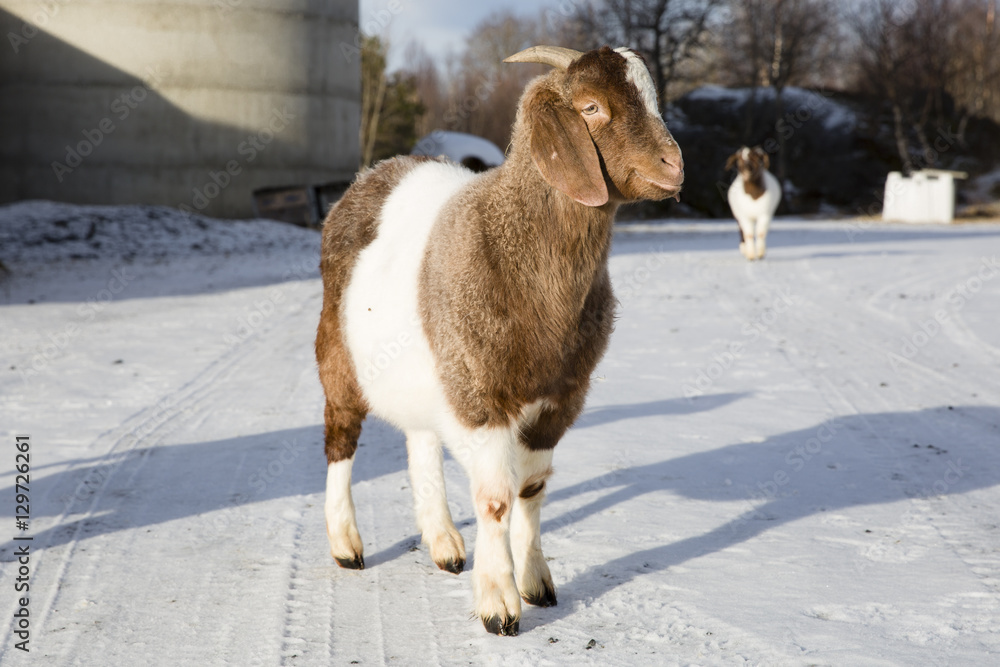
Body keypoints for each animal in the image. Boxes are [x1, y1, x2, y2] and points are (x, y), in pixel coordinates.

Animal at [315, 45, 683, 636]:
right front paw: (498, 604)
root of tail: (378, 170)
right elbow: (493, 500)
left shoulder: (559, 400)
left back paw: (443, 543)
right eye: (591, 106)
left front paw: (536, 583)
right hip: (339, 355)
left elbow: (531, 491)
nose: (675, 167)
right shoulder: (481, 396)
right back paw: (347, 544)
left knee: (421, 441)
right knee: (340, 441)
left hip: (431, 370)